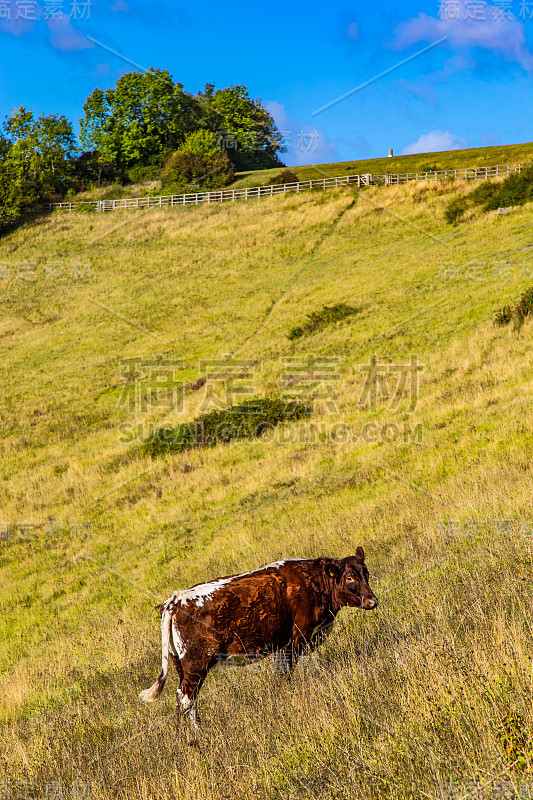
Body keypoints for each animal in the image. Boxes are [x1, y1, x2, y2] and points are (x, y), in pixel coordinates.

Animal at [139, 552, 376, 736]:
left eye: (367, 575)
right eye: (350, 578)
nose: (372, 601)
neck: (312, 581)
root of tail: (175, 599)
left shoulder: (284, 644)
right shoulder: (297, 638)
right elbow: (286, 673)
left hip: (181, 664)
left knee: (189, 699)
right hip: (196, 663)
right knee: (185, 699)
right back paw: (190, 738)